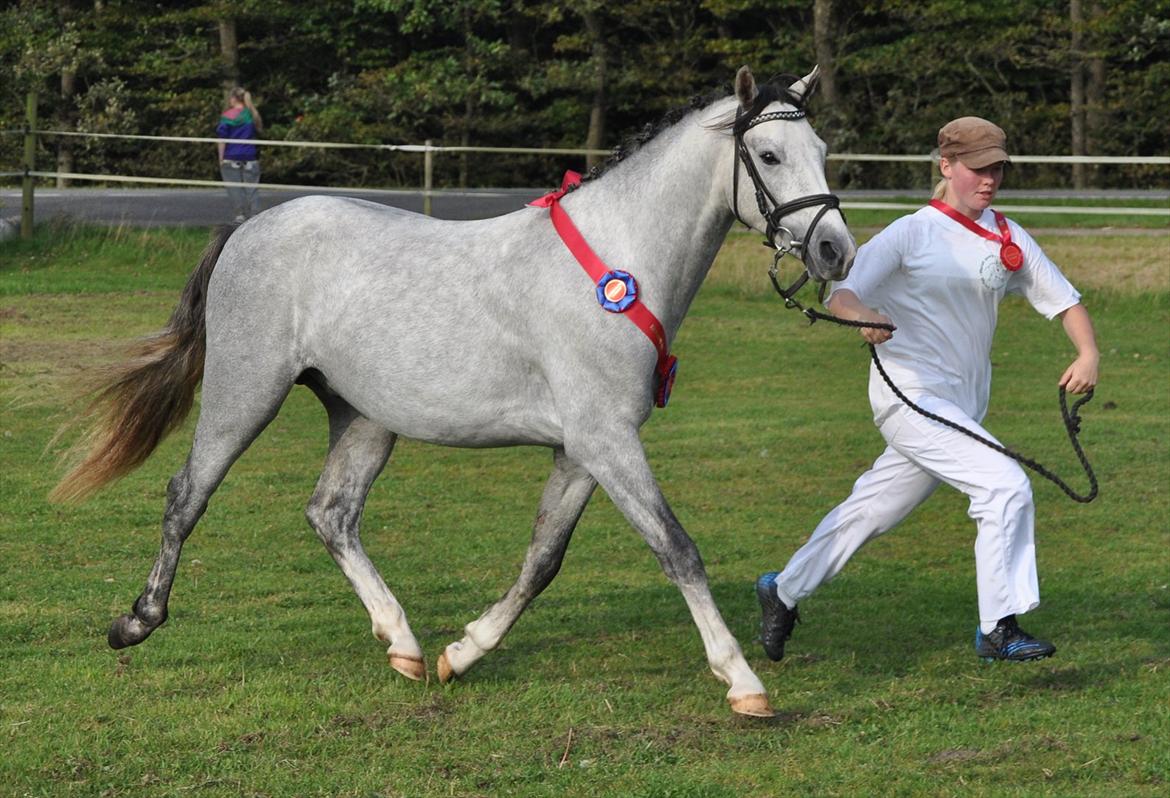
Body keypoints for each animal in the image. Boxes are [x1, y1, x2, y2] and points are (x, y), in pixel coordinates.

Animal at [54, 66, 856, 716]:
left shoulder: (581, 451)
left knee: (331, 514)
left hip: (364, 418)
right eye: (768, 155)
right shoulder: (606, 441)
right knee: (187, 494)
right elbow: (677, 549)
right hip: (244, 391)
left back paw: (404, 643)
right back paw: (136, 621)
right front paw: (743, 682)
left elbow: (542, 561)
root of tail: (251, 227)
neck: (615, 265)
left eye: (821, 151)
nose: (834, 251)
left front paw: (462, 653)